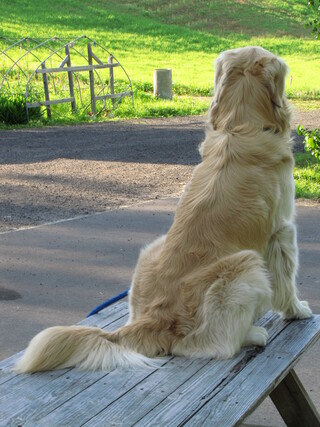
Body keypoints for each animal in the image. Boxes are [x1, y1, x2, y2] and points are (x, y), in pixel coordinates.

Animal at [15, 47, 312, 374]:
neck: (240, 127)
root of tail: (152, 319)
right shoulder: (282, 232)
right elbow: (287, 281)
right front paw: (298, 310)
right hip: (246, 264)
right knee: (206, 344)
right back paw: (253, 335)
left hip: (151, 250)